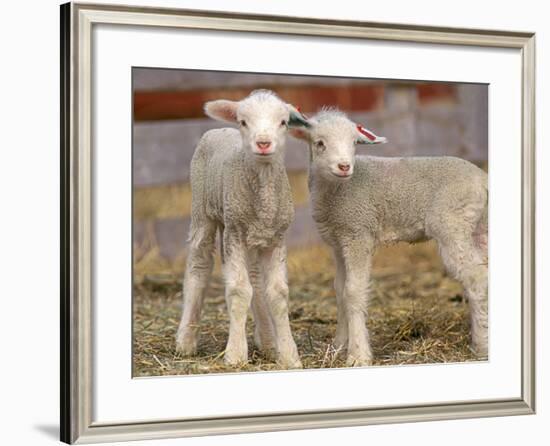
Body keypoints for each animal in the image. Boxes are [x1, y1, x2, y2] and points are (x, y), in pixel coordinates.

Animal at [176, 89, 310, 368]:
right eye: (244, 122)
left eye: (283, 122)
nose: (263, 143)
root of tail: (218, 129)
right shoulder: (234, 234)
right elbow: (238, 290)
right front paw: (236, 354)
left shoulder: (276, 238)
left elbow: (277, 293)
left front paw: (288, 354)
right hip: (204, 212)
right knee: (199, 265)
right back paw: (186, 341)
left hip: (252, 235)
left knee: (256, 280)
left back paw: (268, 341)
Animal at [294, 110, 492, 368]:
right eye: (319, 143)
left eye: (354, 143)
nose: (344, 166)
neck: (337, 190)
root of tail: (483, 180)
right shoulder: (339, 241)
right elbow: (339, 290)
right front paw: (337, 348)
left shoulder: (358, 233)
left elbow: (353, 291)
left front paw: (357, 355)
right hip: (479, 228)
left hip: (453, 225)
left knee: (476, 278)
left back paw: (481, 345)